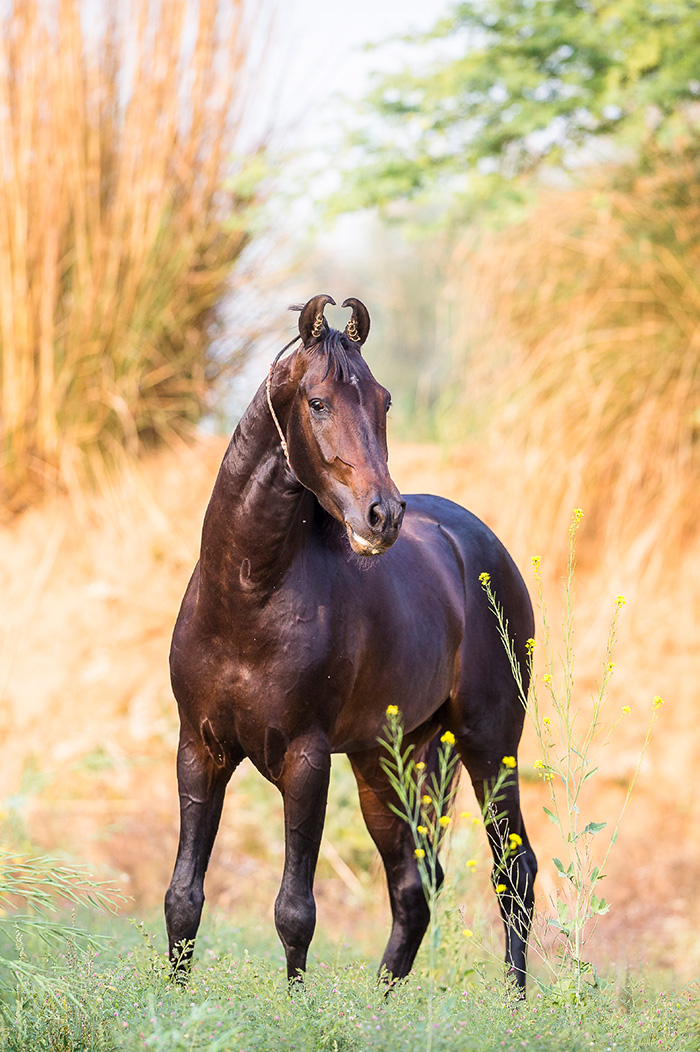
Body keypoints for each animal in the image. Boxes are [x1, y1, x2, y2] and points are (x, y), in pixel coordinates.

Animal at [164, 292, 534, 988]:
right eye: (317, 402)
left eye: (384, 401)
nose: (382, 515)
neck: (248, 597)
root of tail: (479, 545)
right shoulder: (199, 750)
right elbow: (183, 899)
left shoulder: (306, 759)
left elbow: (294, 910)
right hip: (386, 763)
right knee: (414, 888)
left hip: (489, 745)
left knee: (514, 874)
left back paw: (518, 1002)